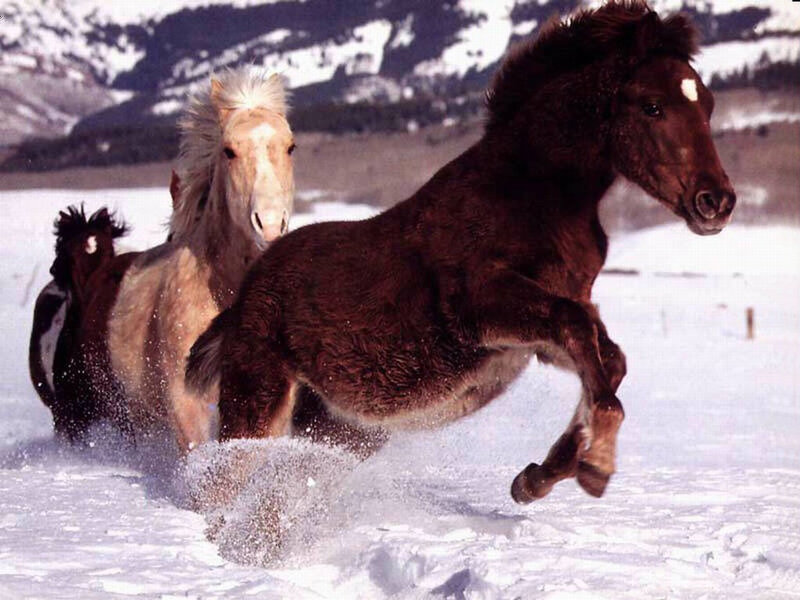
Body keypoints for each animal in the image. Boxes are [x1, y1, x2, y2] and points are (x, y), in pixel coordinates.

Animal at [187, 0, 735, 501]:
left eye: (707, 104)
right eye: (652, 106)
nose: (717, 202)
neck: (533, 195)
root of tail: (241, 301)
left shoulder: (535, 336)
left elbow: (609, 359)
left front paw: (538, 478)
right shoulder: (479, 308)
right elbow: (581, 334)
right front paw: (596, 464)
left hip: (340, 427)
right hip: (258, 399)